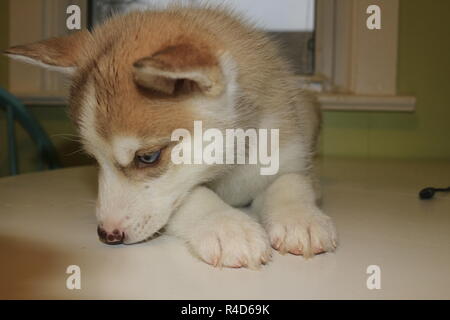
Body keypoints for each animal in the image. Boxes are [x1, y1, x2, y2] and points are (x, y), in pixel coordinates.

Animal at [5, 5, 336, 270]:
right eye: (94, 158)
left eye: (148, 157)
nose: (107, 235)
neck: (229, 169)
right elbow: (193, 196)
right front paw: (227, 227)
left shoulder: (292, 155)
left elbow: (292, 181)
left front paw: (300, 218)